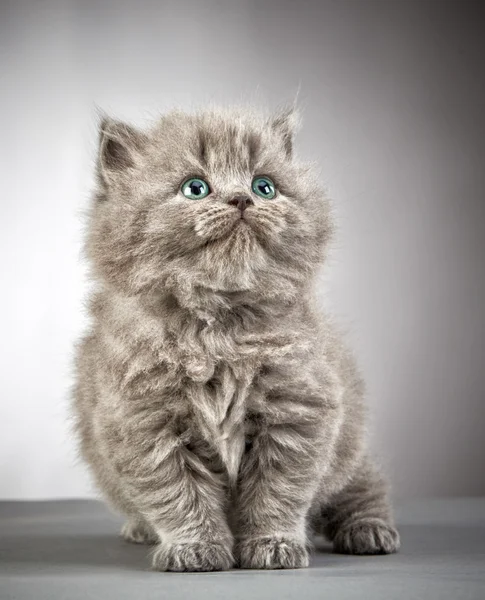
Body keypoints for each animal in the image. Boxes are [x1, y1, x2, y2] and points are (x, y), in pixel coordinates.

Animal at [72, 108, 398, 572]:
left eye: (265, 186)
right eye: (195, 188)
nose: (242, 199)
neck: (220, 332)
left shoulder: (299, 412)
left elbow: (279, 491)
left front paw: (273, 546)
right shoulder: (142, 422)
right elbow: (178, 493)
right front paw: (195, 549)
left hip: (351, 446)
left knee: (363, 487)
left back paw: (370, 530)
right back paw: (140, 529)